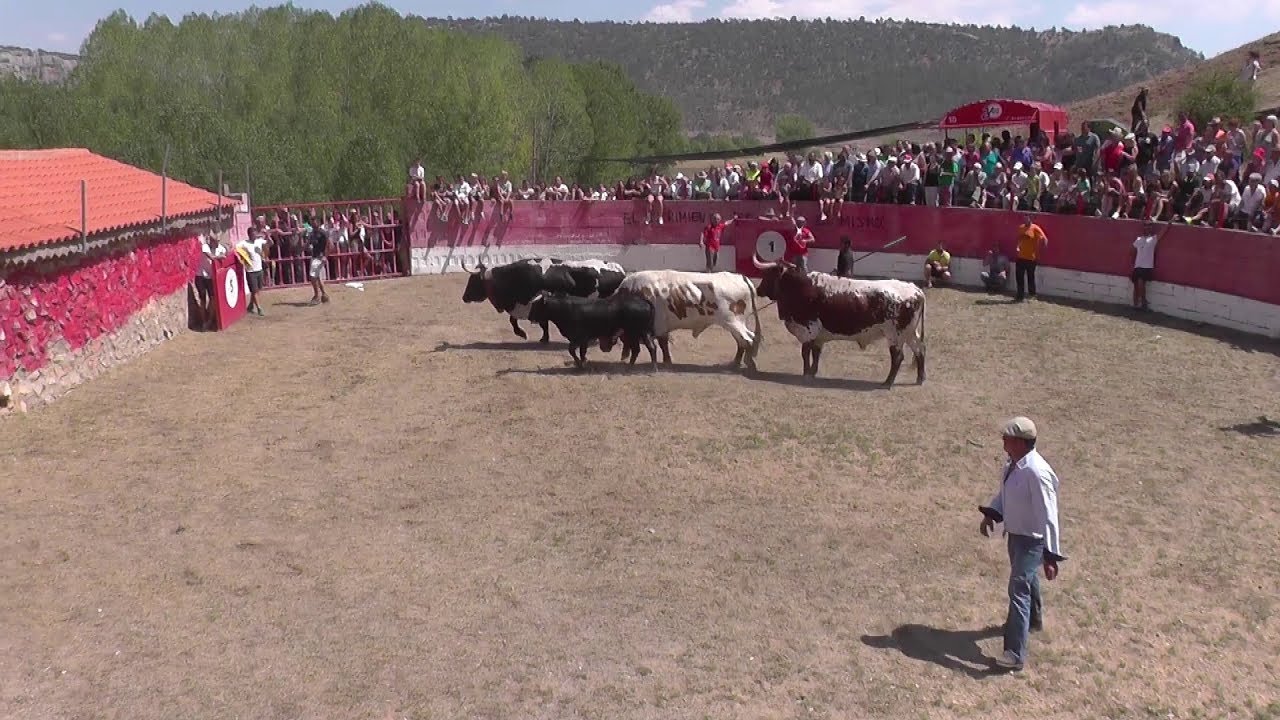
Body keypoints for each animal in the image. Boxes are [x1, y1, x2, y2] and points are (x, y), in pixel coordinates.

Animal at [463, 257, 627, 340]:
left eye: (473, 281)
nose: (464, 297)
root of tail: (620, 269)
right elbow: (516, 320)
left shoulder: (535, 303)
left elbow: (534, 322)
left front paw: (524, 334)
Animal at [609, 270, 757, 368]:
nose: (622, 357)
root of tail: (740, 277)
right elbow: (664, 344)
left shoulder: (659, 325)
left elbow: (663, 344)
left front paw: (667, 361)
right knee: (742, 341)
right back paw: (736, 362)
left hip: (733, 322)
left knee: (747, 339)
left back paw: (743, 363)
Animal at [747, 253, 931, 386]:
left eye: (768, 273)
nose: (758, 289)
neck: (801, 287)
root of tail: (915, 289)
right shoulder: (818, 335)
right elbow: (816, 353)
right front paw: (812, 372)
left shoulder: (808, 329)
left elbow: (805, 353)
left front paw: (806, 374)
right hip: (909, 333)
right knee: (920, 349)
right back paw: (920, 378)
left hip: (895, 335)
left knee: (898, 357)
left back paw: (887, 382)